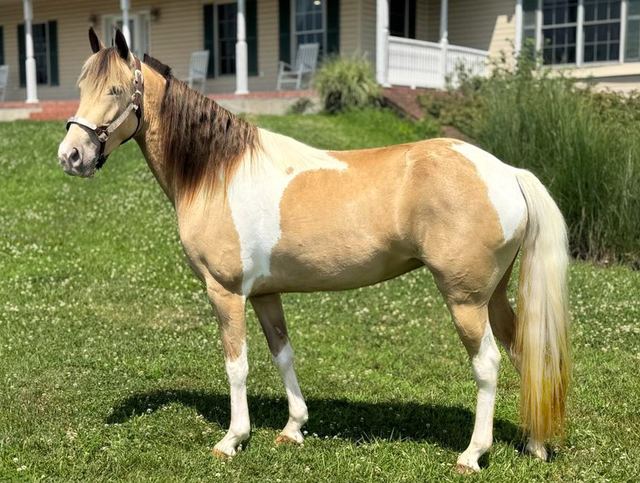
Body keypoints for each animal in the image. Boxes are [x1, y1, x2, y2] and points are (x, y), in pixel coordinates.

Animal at [57, 28, 570, 472]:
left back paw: (473, 454)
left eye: (117, 90)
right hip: (493, 296)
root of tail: (507, 171)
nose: (71, 155)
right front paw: (293, 428)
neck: (217, 172)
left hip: (465, 300)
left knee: (488, 365)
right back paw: (536, 444)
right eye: (82, 85)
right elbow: (282, 354)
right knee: (524, 352)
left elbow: (236, 365)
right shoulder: (266, 294)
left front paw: (233, 439)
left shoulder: (225, 293)